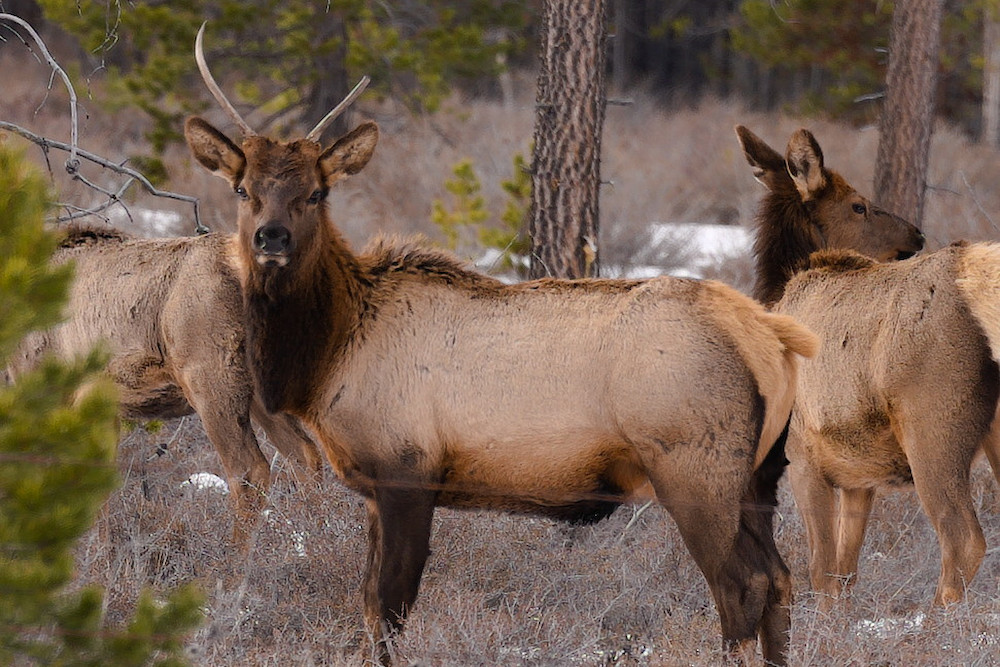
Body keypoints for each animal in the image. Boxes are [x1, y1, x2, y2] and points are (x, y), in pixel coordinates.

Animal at [182, 26, 819, 666]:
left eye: (317, 192)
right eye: (242, 188)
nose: (272, 238)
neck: (329, 354)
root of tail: (773, 338)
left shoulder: (408, 473)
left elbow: (389, 607)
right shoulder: (373, 488)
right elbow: (367, 606)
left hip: (696, 469)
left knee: (742, 585)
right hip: (758, 475)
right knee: (781, 578)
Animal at [736, 124, 1000, 609]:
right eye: (858, 205)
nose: (917, 234)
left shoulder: (802, 452)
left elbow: (820, 570)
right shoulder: (857, 475)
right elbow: (845, 570)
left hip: (933, 425)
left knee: (963, 539)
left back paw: (933, 621)